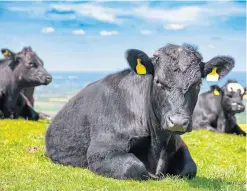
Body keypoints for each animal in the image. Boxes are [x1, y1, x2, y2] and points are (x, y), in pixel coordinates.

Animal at [45, 43, 233, 181]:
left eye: (197, 84)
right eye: (158, 81)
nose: (178, 122)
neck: (158, 145)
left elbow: (189, 168)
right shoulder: (101, 152)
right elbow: (134, 167)